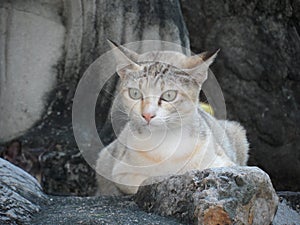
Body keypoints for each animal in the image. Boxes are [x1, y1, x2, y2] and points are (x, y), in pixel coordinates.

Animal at [95, 41, 248, 196]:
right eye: (135, 93)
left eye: (169, 95)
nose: (147, 115)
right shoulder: (121, 173)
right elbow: (144, 180)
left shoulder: (223, 163)